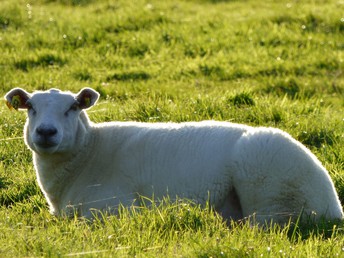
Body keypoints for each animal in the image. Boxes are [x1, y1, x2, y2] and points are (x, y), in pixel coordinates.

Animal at [5, 87, 344, 225]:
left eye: (73, 107)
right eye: (30, 107)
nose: (46, 132)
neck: (89, 153)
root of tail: (333, 204)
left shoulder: (112, 208)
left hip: (269, 188)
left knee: (269, 224)